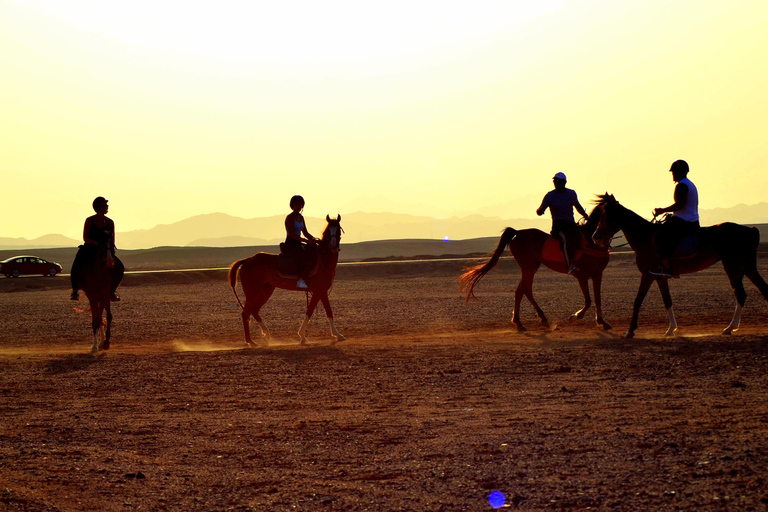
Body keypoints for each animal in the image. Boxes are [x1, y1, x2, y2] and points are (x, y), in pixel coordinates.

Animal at [228, 214, 344, 346]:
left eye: (338, 230)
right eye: (328, 231)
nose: (333, 246)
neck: (323, 261)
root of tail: (246, 260)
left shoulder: (319, 292)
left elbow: (318, 311)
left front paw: (306, 337)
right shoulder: (320, 291)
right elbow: (321, 311)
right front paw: (336, 335)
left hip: (266, 290)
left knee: (254, 310)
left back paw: (266, 334)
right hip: (252, 292)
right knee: (246, 313)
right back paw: (250, 341)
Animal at [462, 196, 612, 332]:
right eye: (610, 212)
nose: (602, 237)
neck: (590, 241)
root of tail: (518, 233)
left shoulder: (597, 274)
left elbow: (597, 298)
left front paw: (602, 323)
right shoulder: (582, 276)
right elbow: (589, 300)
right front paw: (575, 317)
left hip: (533, 265)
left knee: (520, 290)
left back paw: (520, 322)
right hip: (528, 266)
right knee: (526, 290)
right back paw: (539, 319)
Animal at [592, 194, 768, 338]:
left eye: (605, 216)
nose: (595, 237)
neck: (645, 237)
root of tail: (750, 230)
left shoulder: (648, 275)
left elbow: (638, 300)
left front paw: (630, 331)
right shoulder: (659, 276)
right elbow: (667, 300)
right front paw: (671, 329)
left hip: (733, 267)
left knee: (741, 294)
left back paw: (730, 328)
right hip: (748, 268)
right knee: (762, 288)